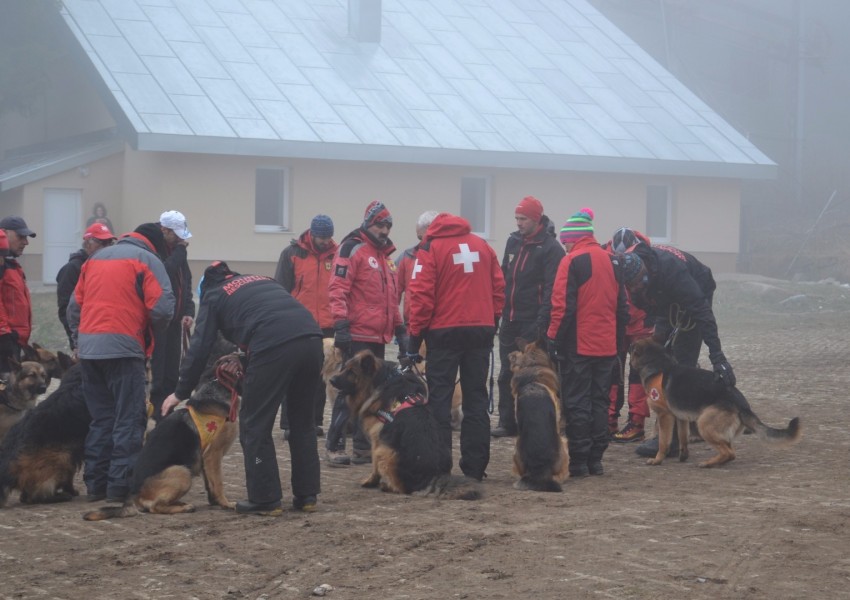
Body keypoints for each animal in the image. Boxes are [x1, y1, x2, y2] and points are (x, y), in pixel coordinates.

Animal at [83, 352, 240, 520]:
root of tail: (133, 494)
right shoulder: (213, 455)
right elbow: (218, 483)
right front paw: (226, 503)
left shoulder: (206, 459)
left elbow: (210, 484)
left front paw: (216, 502)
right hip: (181, 471)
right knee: (155, 507)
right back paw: (185, 507)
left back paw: (181, 504)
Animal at [330, 350, 480, 500]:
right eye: (344, 368)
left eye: (351, 372)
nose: (331, 380)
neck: (382, 380)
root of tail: (433, 477)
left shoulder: (377, 440)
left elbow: (374, 466)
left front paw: (369, 481)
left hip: (385, 451)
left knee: (400, 487)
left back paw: (386, 485)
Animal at [628, 338, 800, 468]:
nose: (627, 343)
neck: (658, 364)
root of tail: (743, 404)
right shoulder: (681, 418)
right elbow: (683, 438)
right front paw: (683, 456)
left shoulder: (665, 416)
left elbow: (663, 442)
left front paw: (657, 460)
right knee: (730, 452)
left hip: (704, 424)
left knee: (729, 452)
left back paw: (707, 463)